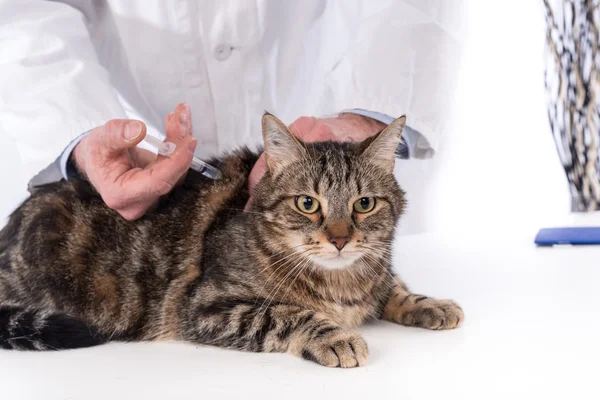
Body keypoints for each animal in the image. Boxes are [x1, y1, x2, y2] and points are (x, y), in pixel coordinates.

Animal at [0, 114, 464, 368]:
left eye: (364, 204)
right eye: (308, 203)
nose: (339, 239)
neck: (340, 285)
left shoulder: (377, 272)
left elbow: (393, 286)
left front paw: (430, 303)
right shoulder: (204, 306)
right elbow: (288, 315)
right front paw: (335, 336)